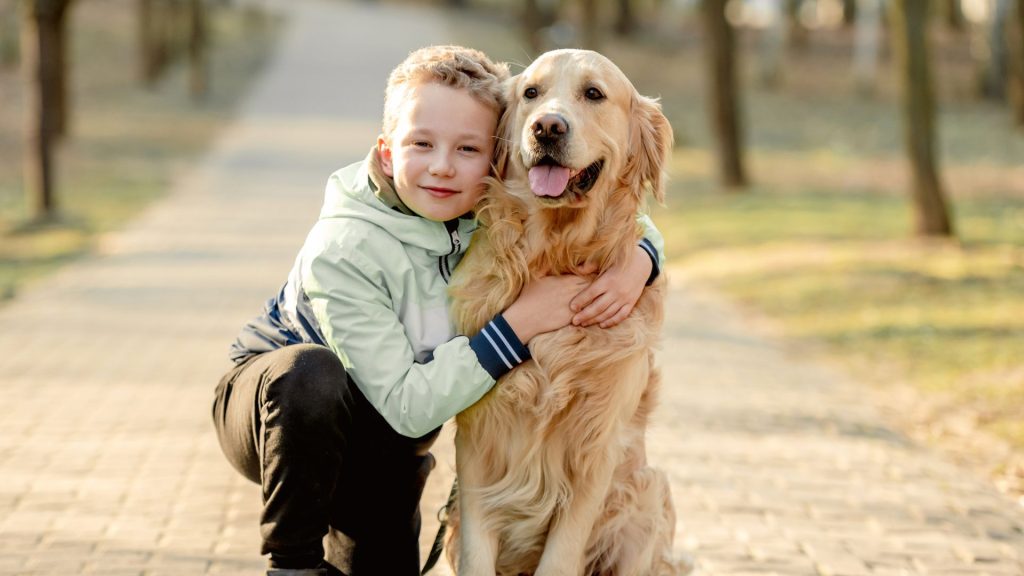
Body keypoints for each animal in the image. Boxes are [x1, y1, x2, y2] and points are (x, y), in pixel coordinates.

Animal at [448, 50, 679, 573]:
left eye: (593, 93)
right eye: (531, 93)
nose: (547, 127)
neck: (555, 254)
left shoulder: (596, 453)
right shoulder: (477, 447)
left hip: (648, 491)